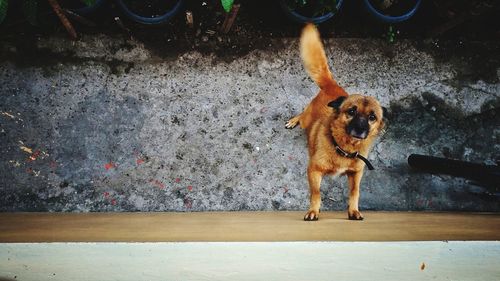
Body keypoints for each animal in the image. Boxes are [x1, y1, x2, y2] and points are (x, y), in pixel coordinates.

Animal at [286, 23, 386, 221]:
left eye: (372, 117)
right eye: (351, 111)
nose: (360, 128)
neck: (344, 148)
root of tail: (332, 85)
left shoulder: (357, 173)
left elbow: (355, 192)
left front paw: (353, 211)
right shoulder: (314, 170)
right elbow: (316, 193)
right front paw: (313, 211)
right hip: (306, 119)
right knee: (302, 115)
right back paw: (293, 121)